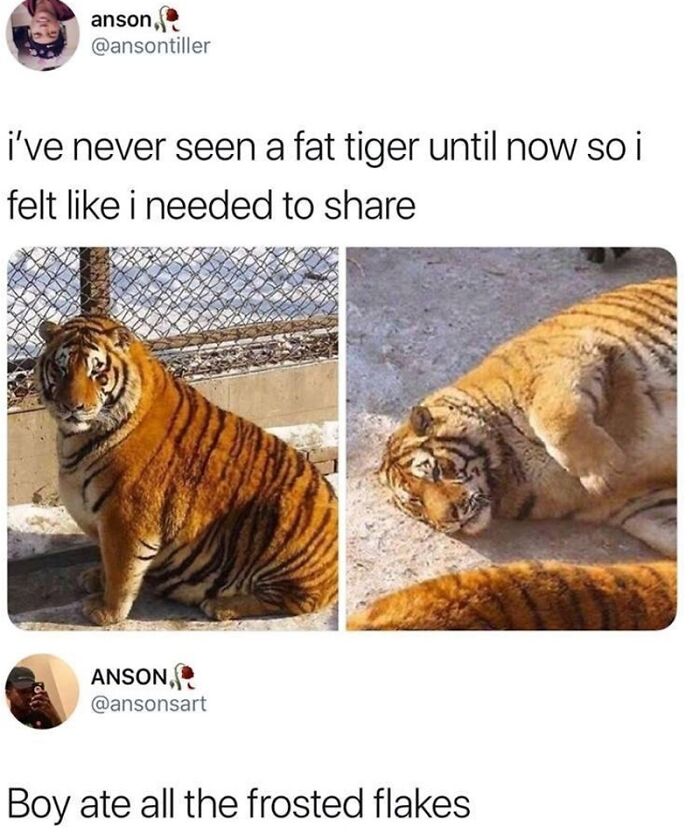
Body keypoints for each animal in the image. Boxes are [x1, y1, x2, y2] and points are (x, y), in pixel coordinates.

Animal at [36, 315, 338, 626]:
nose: (71, 407)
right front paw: (95, 577)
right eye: (60, 369)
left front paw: (106, 612)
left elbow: (120, 571)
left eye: (97, 372)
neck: (76, 438)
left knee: (296, 602)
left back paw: (220, 606)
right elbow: (107, 562)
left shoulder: (125, 517)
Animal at [349, 276, 676, 630]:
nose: (450, 520)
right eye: (415, 502)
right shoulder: (641, 504)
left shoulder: (566, 360)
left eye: (435, 471)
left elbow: (555, 416)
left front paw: (607, 471)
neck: (511, 475)